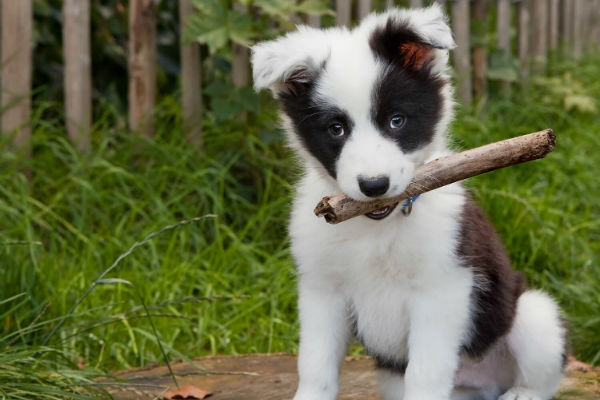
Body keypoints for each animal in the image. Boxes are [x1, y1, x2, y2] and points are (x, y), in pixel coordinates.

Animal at [250, 6, 568, 400]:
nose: (374, 185)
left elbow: (425, 372)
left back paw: (521, 393)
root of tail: (482, 384)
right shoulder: (322, 290)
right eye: (336, 129)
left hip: (533, 313)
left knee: (542, 374)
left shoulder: (442, 288)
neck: (376, 229)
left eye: (396, 121)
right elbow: (314, 364)